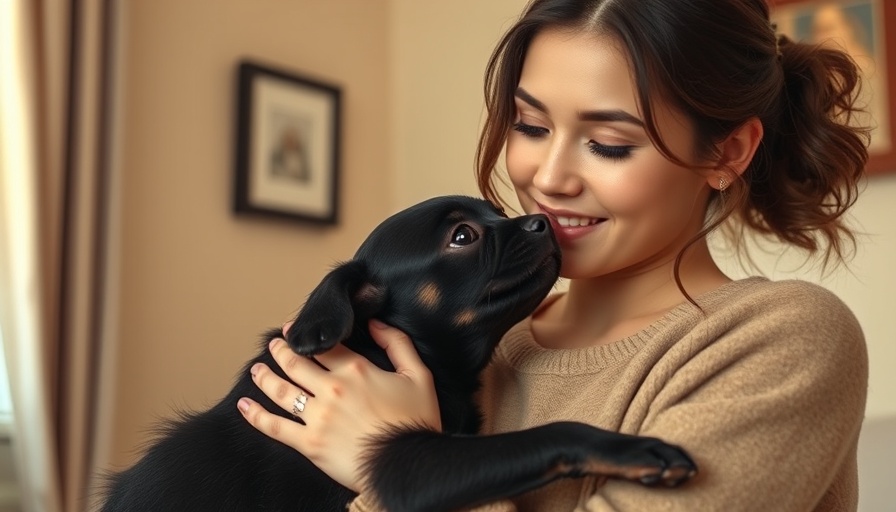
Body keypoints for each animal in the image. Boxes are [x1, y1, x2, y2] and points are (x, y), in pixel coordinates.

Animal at [101, 196, 696, 512]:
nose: (543, 219)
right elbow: (546, 436)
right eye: (463, 236)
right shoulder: (402, 469)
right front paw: (633, 449)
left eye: (497, 211)